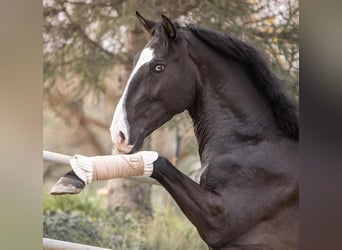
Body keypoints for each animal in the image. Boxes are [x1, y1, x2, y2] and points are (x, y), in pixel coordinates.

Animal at [52, 12, 296, 250]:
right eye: (135, 61)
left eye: (158, 66)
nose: (119, 134)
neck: (250, 142)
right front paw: (72, 177)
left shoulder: (219, 220)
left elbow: (157, 161)